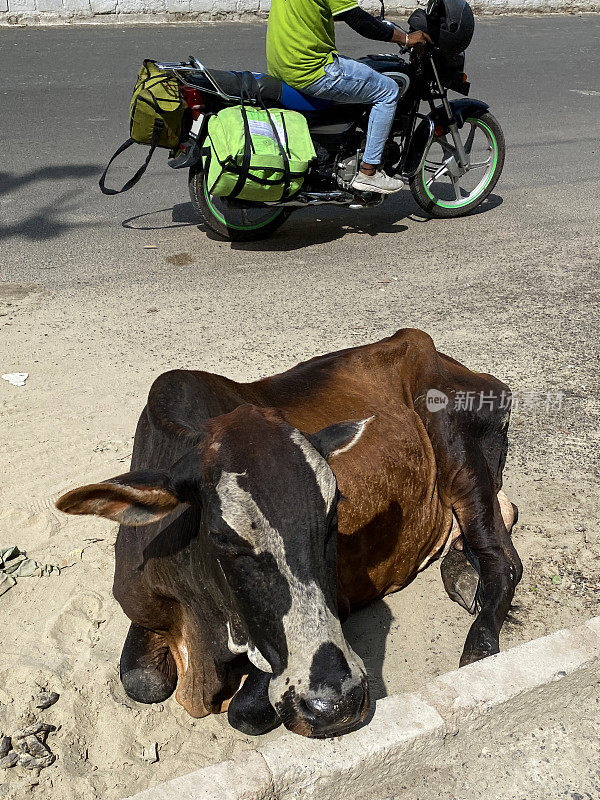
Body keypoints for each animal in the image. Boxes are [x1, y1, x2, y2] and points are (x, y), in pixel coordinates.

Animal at [58, 330, 524, 736]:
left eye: (334, 519)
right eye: (223, 539)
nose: (335, 704)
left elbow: (245, 712)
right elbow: (142, 681)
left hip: (459, 452)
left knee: (505, 562)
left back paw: (479, 646)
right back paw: (462, 574)